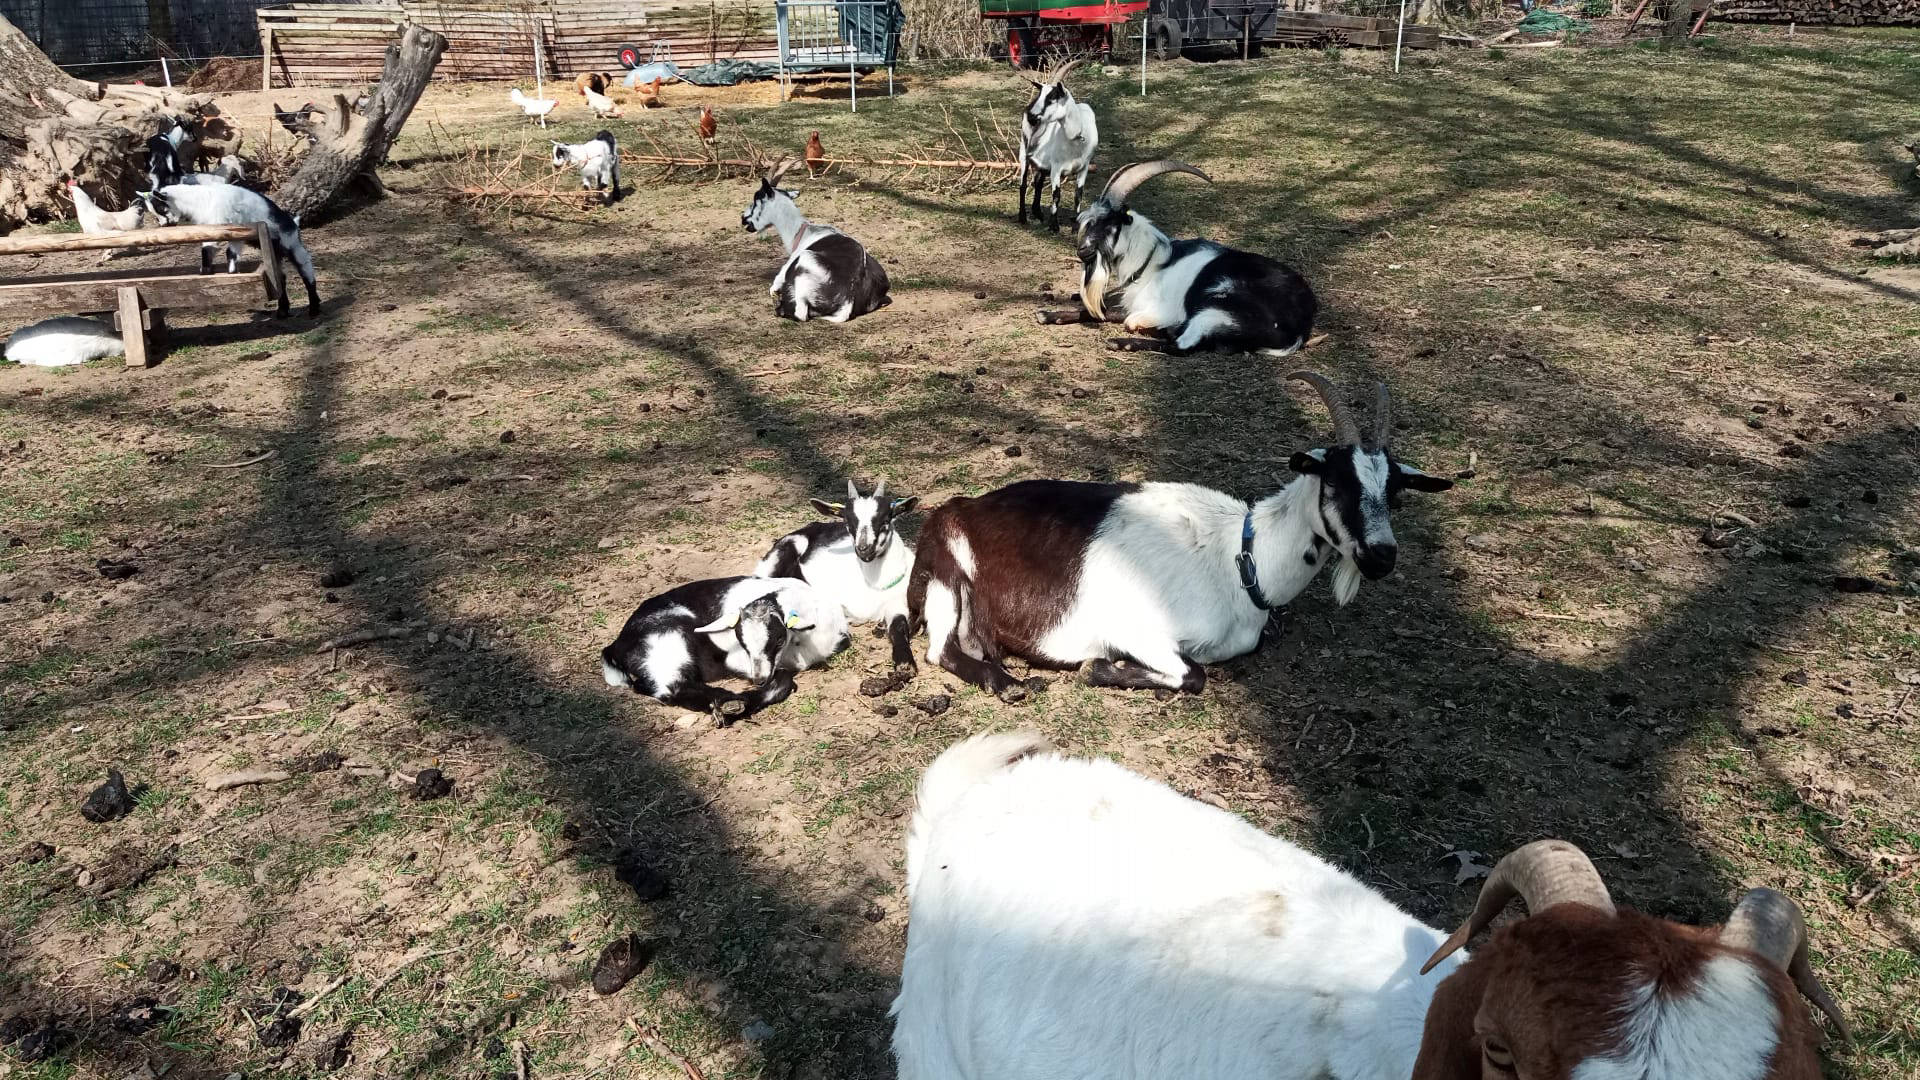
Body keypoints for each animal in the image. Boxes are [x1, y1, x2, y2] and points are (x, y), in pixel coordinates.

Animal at [595, 576, 844, 718]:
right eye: (742, 642)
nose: (759, 679)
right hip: (668, 644)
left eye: (779, 640)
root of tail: (616, 645)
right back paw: (729, 703)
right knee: (673, 687)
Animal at [906, 372, 1443, 699]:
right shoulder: (1136, 629)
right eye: (1336, 482)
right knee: (942, 651)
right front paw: (1102, 668)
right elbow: (1192, 673)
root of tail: (953, 509)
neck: (1241, 560)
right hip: (950, 576)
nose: (1382, 556)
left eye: (1395, 493)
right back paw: (1008, 682)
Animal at [1036, 158, 1320, 353]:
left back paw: (1123, 342)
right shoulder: (1138, 303)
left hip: (1215, 309)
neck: (1151, 264)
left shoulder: (1163, 309)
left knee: (1181, 345)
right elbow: (1098, 312)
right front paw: (1047, 314)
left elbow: (1126, 318)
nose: (1082, 251)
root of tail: (1301, 325)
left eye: (1109, 224)